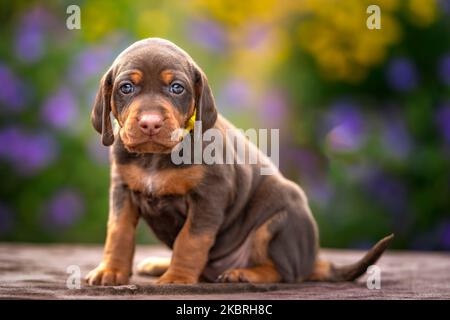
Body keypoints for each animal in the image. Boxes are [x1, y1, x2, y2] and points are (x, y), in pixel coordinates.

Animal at [85, 37, 394, 284]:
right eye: (126, 88)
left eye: (176, 88)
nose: (150, 123)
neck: (155, 158)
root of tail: (312, 260)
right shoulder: (122, 190)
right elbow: (118, 233)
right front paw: (111, 271)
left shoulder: (210, 195)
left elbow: (190, 240)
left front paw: (177, 278)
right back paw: (161, 264)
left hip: (280, 217)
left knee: (284, 272)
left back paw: (244, 273)